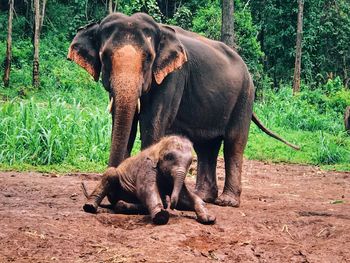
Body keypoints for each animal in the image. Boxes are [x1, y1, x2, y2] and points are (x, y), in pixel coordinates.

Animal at [67, 12, 298, 208]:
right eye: (105, 56)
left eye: (148, 57)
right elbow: (126, 123)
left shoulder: (174, 77)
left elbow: (152, 123)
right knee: (206, 146)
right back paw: (203, 197)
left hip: (245, 97)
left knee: (234, 143)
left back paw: (227, 202)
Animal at [83, 136, 215, 225]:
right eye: (169, 157)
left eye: (190, 162)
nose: (172, 207)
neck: (159, 146)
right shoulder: (147, 167)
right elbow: (146, 190)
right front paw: (161, 216)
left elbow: (184, 198)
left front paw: (209, 218)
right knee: (111, 173)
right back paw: (90, 207)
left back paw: (123, 205)